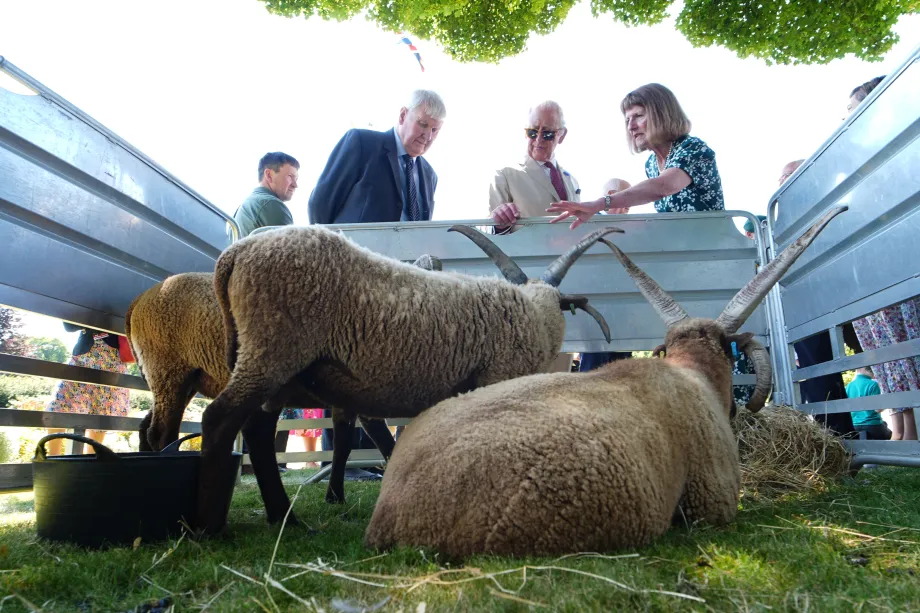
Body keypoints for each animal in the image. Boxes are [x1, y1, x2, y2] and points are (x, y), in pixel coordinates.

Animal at [195, 224, 622, 533]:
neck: (534, 315)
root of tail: (235, 254)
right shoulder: (496, 376)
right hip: (274, 348)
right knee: (219, 419)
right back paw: (210, 527)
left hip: (273, 361)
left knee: (256, 432)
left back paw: (284, 517)